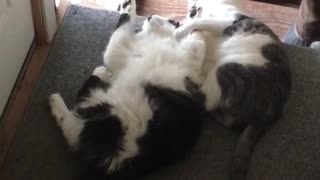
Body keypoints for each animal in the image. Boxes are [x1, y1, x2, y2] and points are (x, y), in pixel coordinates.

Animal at [48, 0, 206, 179]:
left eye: (171, 20)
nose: (149, 16)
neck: (155, 39)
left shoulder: (117, 52)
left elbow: (198, 44)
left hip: (106, 111)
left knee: (72, 119)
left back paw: (59, 96)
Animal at [175, 0, 292, 179]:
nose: (192, 9)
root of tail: (272, 113)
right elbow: (193, 21)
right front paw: (183, 23)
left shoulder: (227, 21)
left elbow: (200, 22)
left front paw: (181, 31)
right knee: (225, 118)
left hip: (226, 69)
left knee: (203, 101)